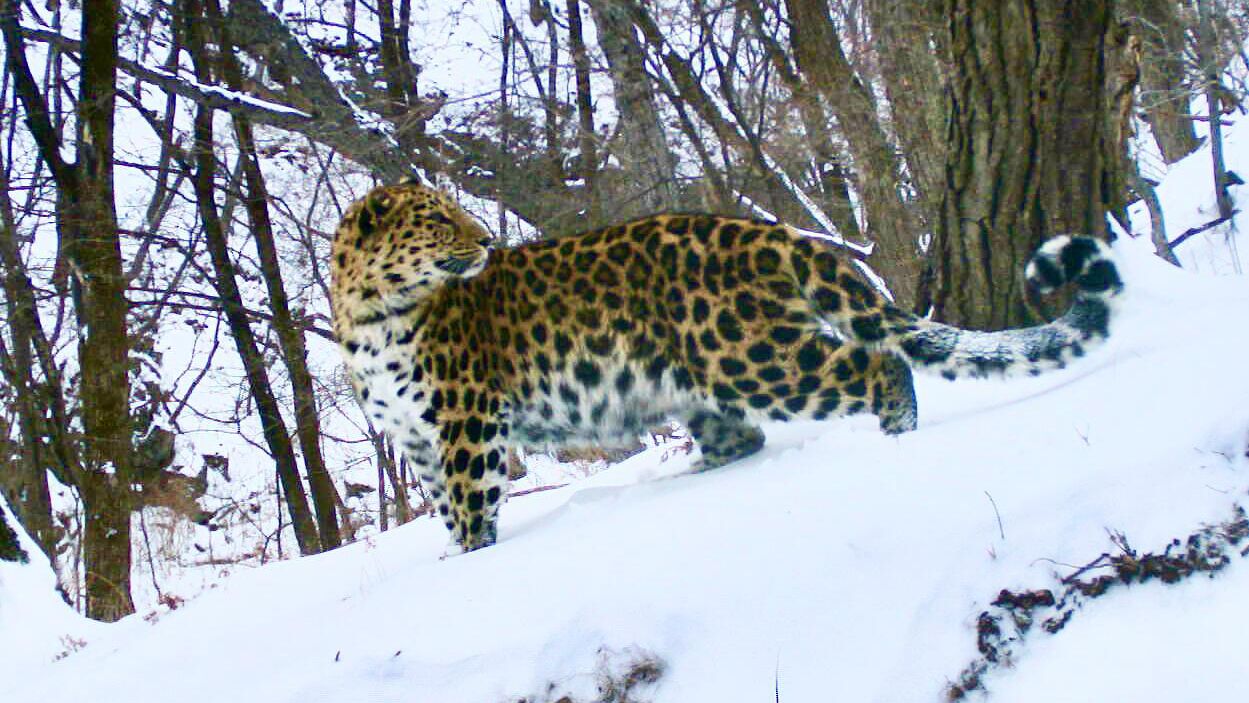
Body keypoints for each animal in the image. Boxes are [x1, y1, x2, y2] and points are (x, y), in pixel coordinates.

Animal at [329, 178, 1124, 551]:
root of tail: (771, 232)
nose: (487, 239)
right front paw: (455, 559)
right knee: (743, 436)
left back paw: (896, 435)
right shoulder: (416, 439)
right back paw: (688, 478)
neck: (365, 316)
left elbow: (470, 502)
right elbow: (445, 506)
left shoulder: (465, 419)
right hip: (698, 381)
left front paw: (472, 558)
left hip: (751, 357)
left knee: (875, 366)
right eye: (438, 220)